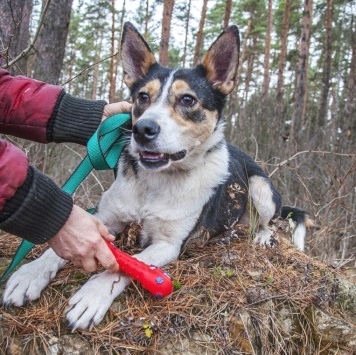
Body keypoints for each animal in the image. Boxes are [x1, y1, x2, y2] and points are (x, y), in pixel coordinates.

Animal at [1, 23, 312, 332]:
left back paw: (260, 236)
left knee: (270, 222)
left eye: (187, 99)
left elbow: (133, 265)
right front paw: (30, 273)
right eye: (142, 97)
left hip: (261, 188)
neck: (156, 182)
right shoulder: (104, 219)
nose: (142, 129)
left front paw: (94, 294)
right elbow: (62, 242)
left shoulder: (168, 244)